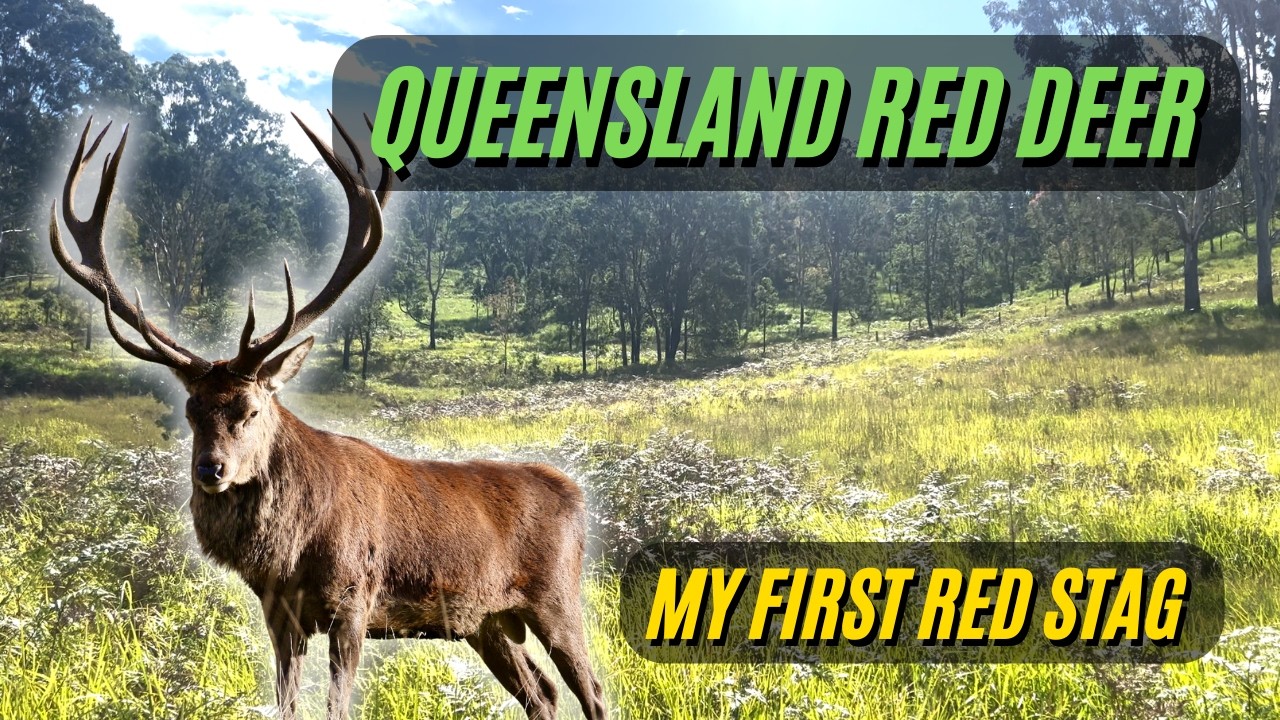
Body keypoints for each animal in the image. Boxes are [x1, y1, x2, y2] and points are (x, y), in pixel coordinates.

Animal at [49, 116, 607, 720]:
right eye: (191, 410)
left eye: (249, 409)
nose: (210, 470)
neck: (293, 549)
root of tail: (577, 493)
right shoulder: (278, 612)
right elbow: (286, 705)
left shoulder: (354, 599)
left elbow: (338, 704)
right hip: (486, 621)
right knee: (542, 692)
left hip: (556, 596)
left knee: (593, 690)